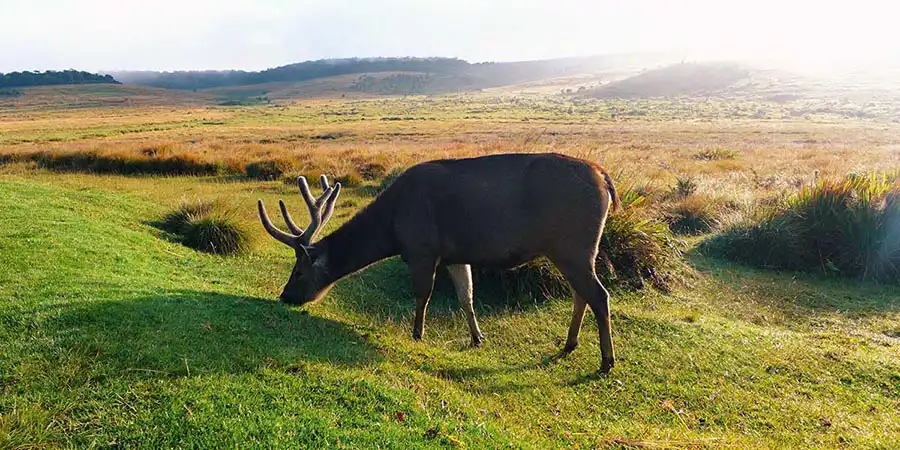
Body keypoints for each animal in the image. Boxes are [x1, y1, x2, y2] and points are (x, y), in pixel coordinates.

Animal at [253, 153, 620, 370]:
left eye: (298, 272)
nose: (284, 296)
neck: (391, 230)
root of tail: (605, 178)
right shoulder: (456, 254)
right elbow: (466, 296)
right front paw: (477, 337)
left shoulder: (422, 248)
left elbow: (423, 295)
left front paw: (417, 334)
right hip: (574, 250)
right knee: (582, 294)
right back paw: (570, 344)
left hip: (572, 244)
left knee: (599, 295)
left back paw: (606, 360)